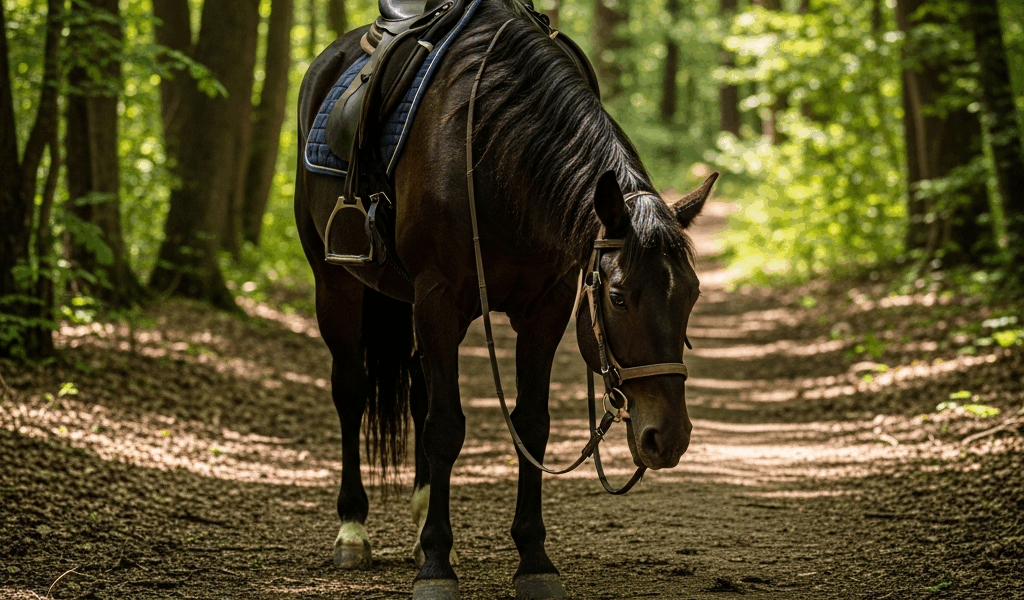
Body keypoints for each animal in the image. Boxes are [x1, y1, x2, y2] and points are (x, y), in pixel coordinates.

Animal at [294, 1, 716, 597]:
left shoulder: (546, 307)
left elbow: (530, 425)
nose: (669, 436)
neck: (494, 158)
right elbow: (446, 428)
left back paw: (420, 521)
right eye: (617, 296)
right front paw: (437, 566)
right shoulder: (438, 299)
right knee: (351, 391)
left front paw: (534, 559)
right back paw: (353, 530)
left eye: (692, 296)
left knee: (419, 394)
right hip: (337, 284)